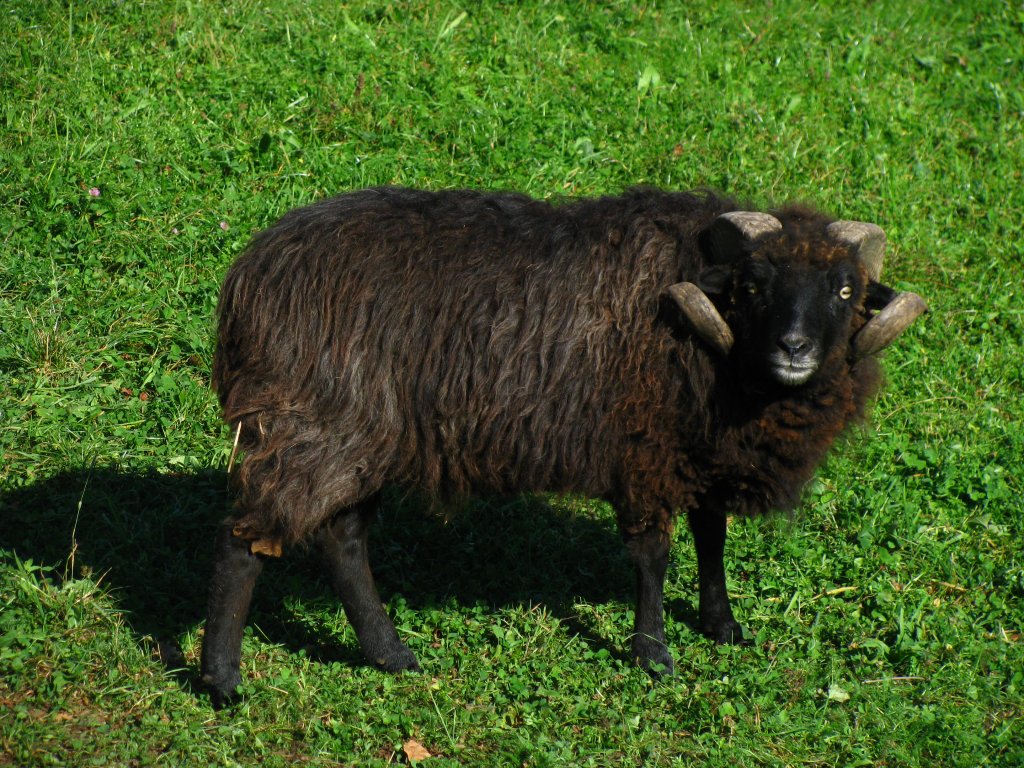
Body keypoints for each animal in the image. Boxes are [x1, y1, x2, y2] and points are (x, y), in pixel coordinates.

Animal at [199, 186, 929, 704]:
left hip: (362, 436)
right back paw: (222, 679)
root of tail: (248, 277)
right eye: (753, 287)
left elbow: (711, 538)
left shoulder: (700, 454)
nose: (795, 349)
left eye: (845, 290)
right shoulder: (644, 453)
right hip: (309, 425)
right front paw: (653, 653)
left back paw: (391, 655)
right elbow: (653, 557)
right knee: (242, 541)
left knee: (342, 540)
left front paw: (722, 626)